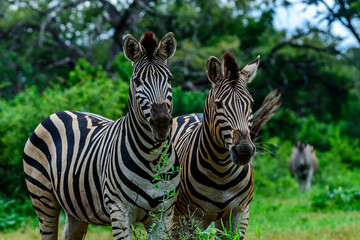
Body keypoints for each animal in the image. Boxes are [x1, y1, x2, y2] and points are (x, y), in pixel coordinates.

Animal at [22, 31, 180, 240]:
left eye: (169, 79)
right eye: (137, 81)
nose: (161, 123)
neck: (153, 158)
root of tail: (61, 112)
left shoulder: (164, 214)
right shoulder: (119, 210)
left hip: (76, 209)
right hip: (43, 198)